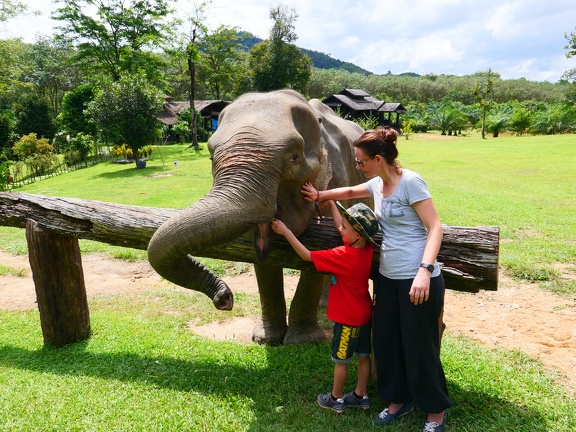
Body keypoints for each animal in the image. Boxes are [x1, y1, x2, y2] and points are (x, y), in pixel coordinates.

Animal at [147, 89, 368, 346]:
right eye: (211, 157)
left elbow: (319, 250)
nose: (225, 298)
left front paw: (302, 341)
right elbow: (261, 257)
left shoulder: (336, 180)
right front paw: (266, 339)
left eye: (294, 157)